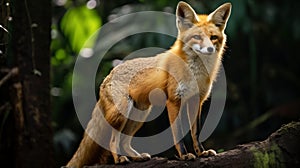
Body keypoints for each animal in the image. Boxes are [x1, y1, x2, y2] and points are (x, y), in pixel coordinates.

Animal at [67, 0, 232, 167]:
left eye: (213, 37)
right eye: (197, 37)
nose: (210, 49)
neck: (195, 73)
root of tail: (107, 76)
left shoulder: (196, 101)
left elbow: (195, 133)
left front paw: (201, 153)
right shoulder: (174, 100)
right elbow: (178, 133)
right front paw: (184, 155)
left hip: (139, 115)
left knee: (124, 141)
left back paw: (136, 157)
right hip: (123, 112)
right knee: (113, 141)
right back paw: (119, 159)